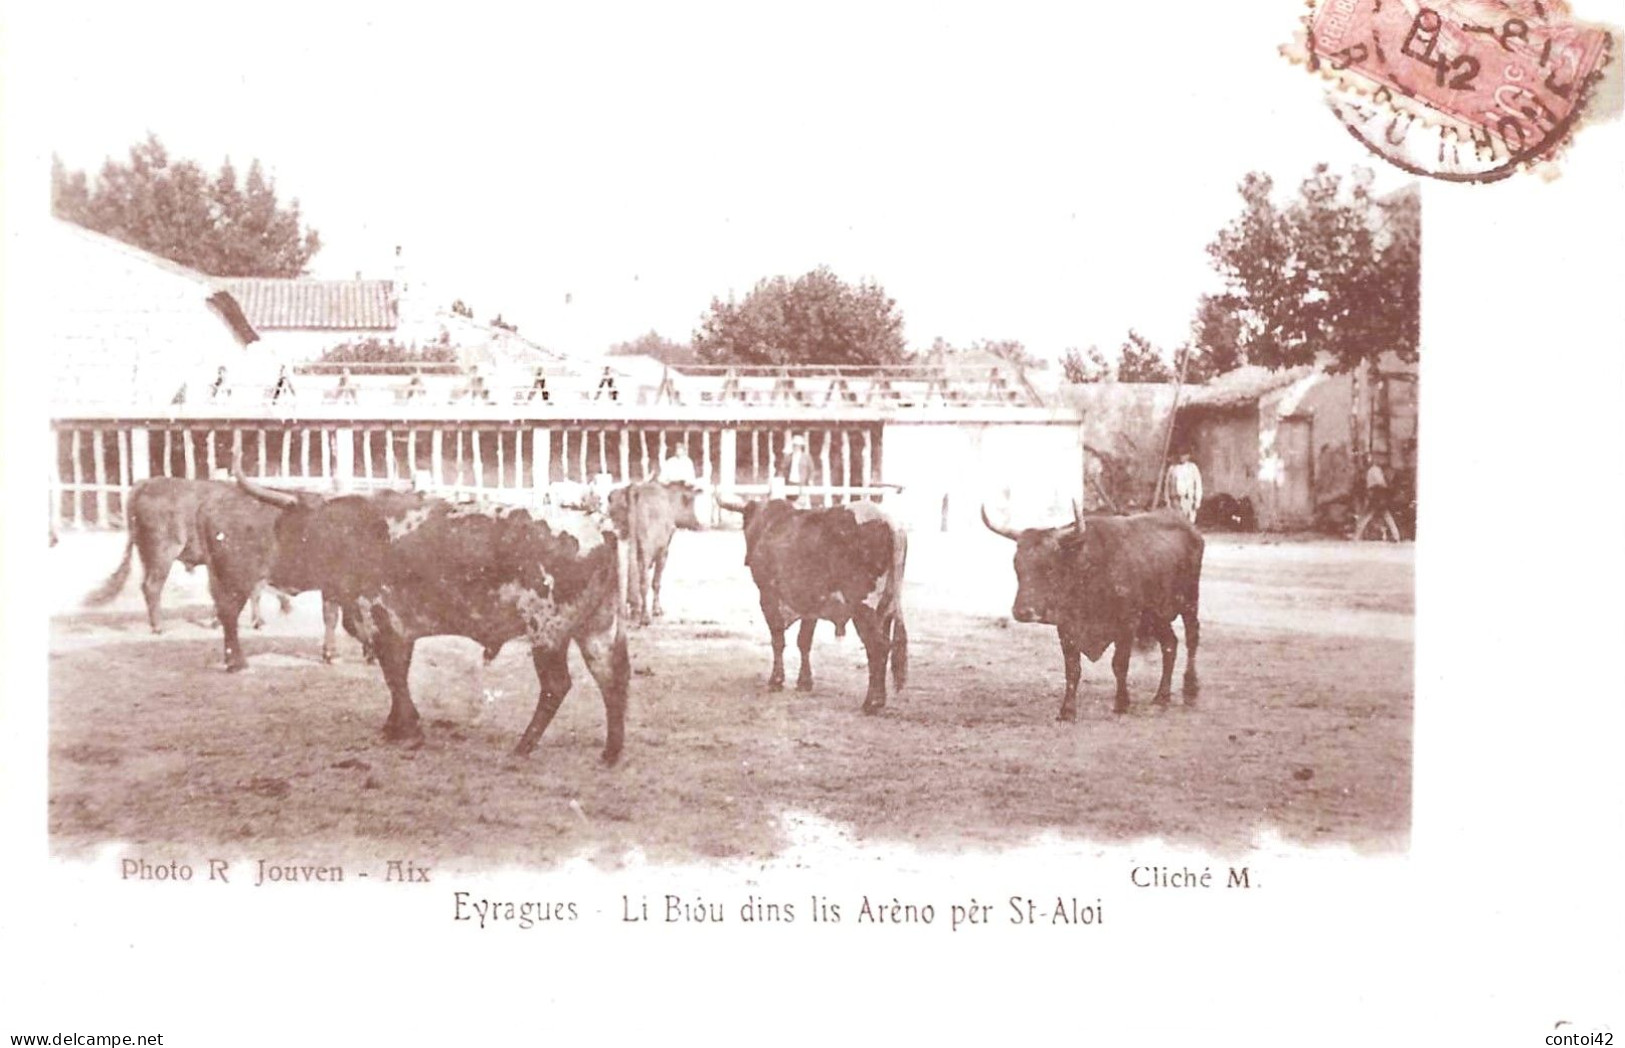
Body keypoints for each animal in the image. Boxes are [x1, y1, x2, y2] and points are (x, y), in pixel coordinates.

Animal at [235, 474, 627, 760]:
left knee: (556, 685)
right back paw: (611, 752)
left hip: (547, 633)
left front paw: (406, 728)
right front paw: (396, 725)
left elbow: (395, 677)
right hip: (598, 628)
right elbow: (398, 676)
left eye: (293, 532)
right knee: (612, 678)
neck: (356, 534)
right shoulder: (399, 631)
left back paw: (524, 745)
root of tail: (600, 530)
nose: (274, 574)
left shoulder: (384, 625)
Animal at [607, 480, 702, 623]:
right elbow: (656, 582)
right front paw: (657, 610)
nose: (699, 525)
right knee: (643, 583)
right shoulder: (663, 552)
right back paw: (644, 616)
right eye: (690, 502)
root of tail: (634, 489)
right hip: (645, 551)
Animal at [718, 497, 910, 711]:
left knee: (878, 647)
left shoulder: (768, 595)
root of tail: (889, 522)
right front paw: (804, 682)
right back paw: (880, 699)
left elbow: (778, 639)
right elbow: (804, 641)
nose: (746, 559)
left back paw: (871, 703)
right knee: (886, 644)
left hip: (863, 606)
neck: (770, 524)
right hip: (886, 607)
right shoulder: (810, 605)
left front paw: (776, 680)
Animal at [975, 500, 1209, 714]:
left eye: (1049, 567)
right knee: (1170, 644)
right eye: (1017, 564)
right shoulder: (1067, 627)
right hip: (1155, 616)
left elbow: (1119, 664)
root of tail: (1190, 528)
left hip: (1190, 602)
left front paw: (1121, 703)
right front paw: (1067, 710)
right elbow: (1073, 669)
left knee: (1192, 639)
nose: (1022, 612)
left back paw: (1190, 690)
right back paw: (1162, 696)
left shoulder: (1127, 624)